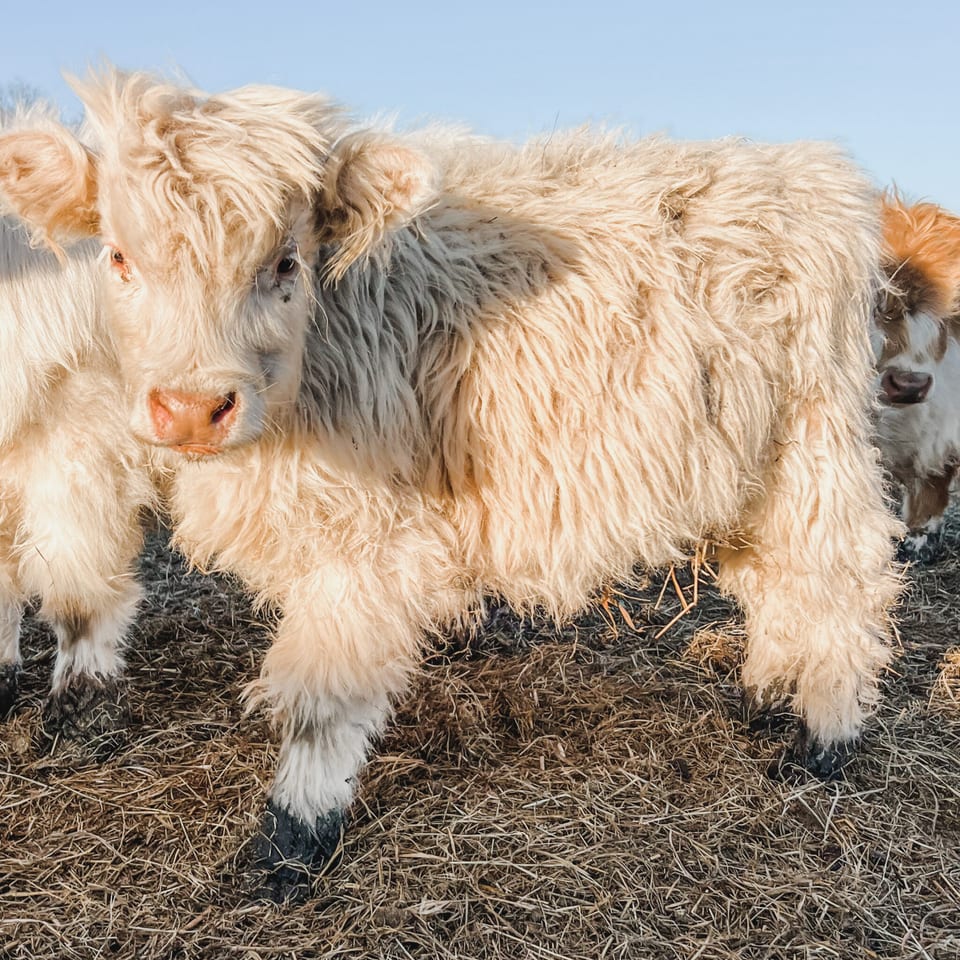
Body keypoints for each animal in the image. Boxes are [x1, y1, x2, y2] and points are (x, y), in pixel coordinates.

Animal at [0, 69, 903, 902]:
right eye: (119, 256)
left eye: (286, 261)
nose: (193, 408)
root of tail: (803, 168)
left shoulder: (358, 541)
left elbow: (316, 697)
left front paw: (290, 843)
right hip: (745, 469)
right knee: (773, 581)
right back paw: (767, 696)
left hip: (815, 447)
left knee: (839, 581)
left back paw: (823, 740)